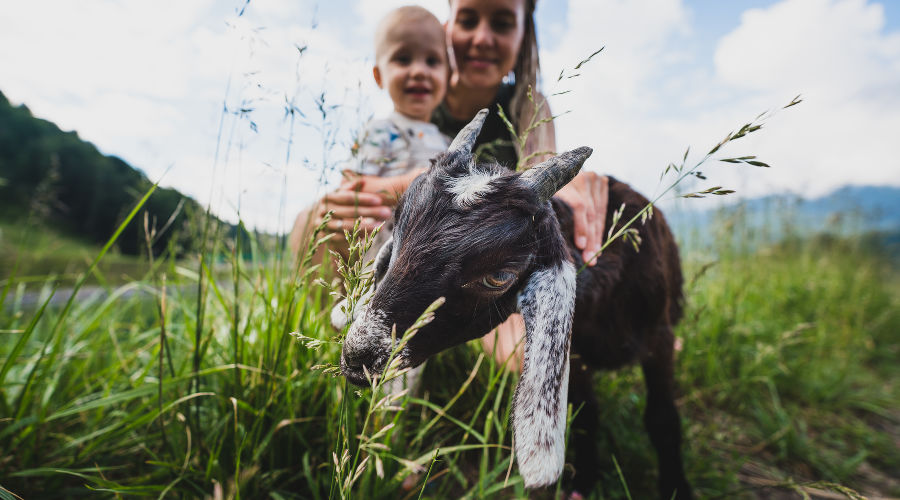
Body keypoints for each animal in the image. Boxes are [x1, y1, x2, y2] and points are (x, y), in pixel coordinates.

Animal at [338, 110, 688, 500]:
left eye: (499, 276)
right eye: (397, 230)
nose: (358, 356)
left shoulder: (658, 336)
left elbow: (662, 420)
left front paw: (677, 488)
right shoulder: (576, 353)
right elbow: (586, 414)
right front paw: (583, 480)